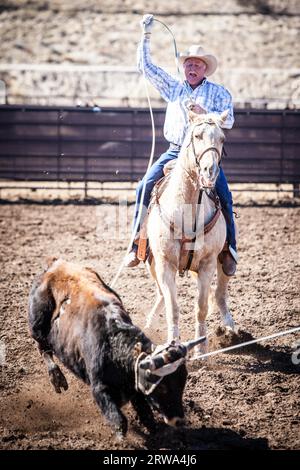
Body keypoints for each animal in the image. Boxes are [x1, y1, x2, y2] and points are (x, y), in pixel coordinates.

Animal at [145, 109, 234, 356]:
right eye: (197, 136)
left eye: (222, 139)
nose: (210, 171)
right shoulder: (165, 263)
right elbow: (173, 307)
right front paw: (171, 345)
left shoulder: (207, 264)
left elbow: (201, 307)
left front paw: (201, 350)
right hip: (152, 262)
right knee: (160, 294)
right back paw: (149, 323)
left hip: (222, 261)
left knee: (220, 292)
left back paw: (230, 328)